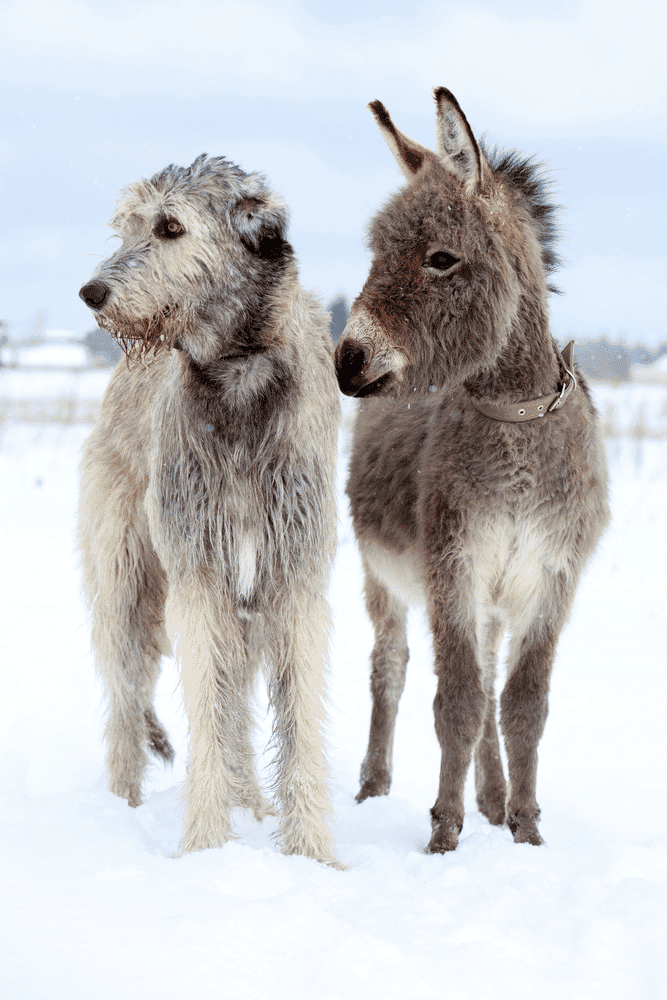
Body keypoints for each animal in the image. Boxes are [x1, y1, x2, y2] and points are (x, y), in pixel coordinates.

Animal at [79, 156, 342, 868]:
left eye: (171, 227)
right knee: (126, 704)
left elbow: (297, 720)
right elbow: (205, 712)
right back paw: (119, 810)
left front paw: (313, 854)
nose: (91, 293)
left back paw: (251, 803)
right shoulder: (197, 575)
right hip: (126, 582)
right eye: (127, 226)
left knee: (237, 704)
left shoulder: (294, 577)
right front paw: (204, 847)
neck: (237, 374)